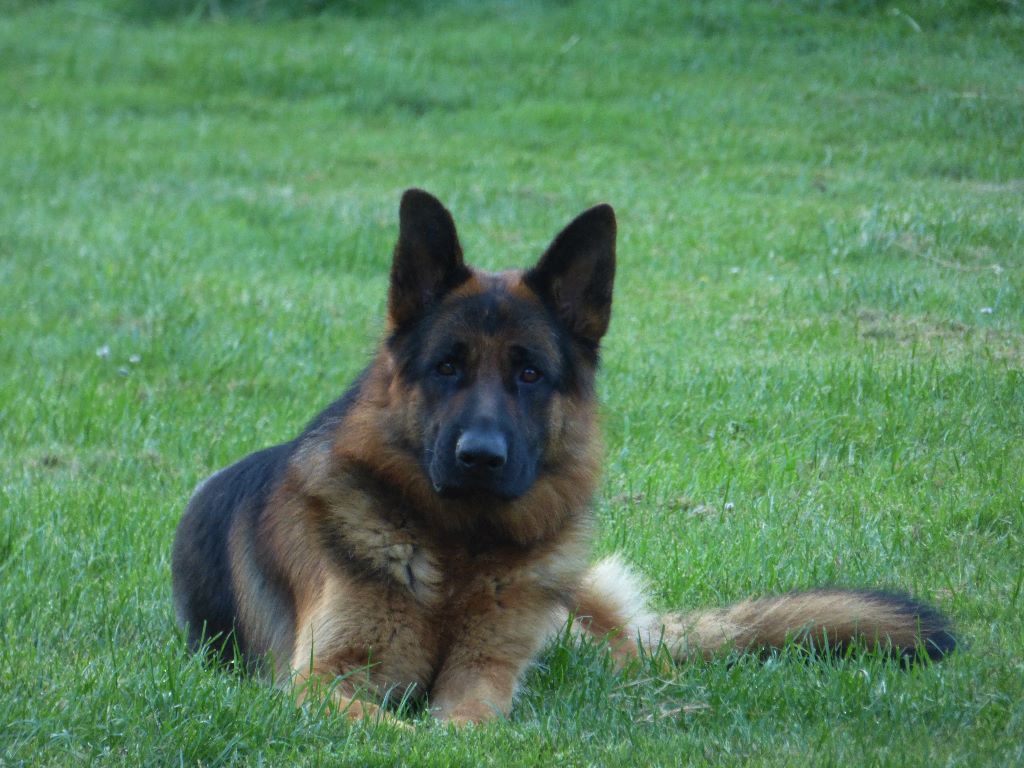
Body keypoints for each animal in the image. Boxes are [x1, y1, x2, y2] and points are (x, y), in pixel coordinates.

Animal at [172, 189, 954, 724]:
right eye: (448, 367)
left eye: (529, 373)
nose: (480, 457)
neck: (458, 550)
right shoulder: (319, 681)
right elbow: (388, 723)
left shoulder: (487, 672)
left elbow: (465, 719)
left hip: (573, 631)